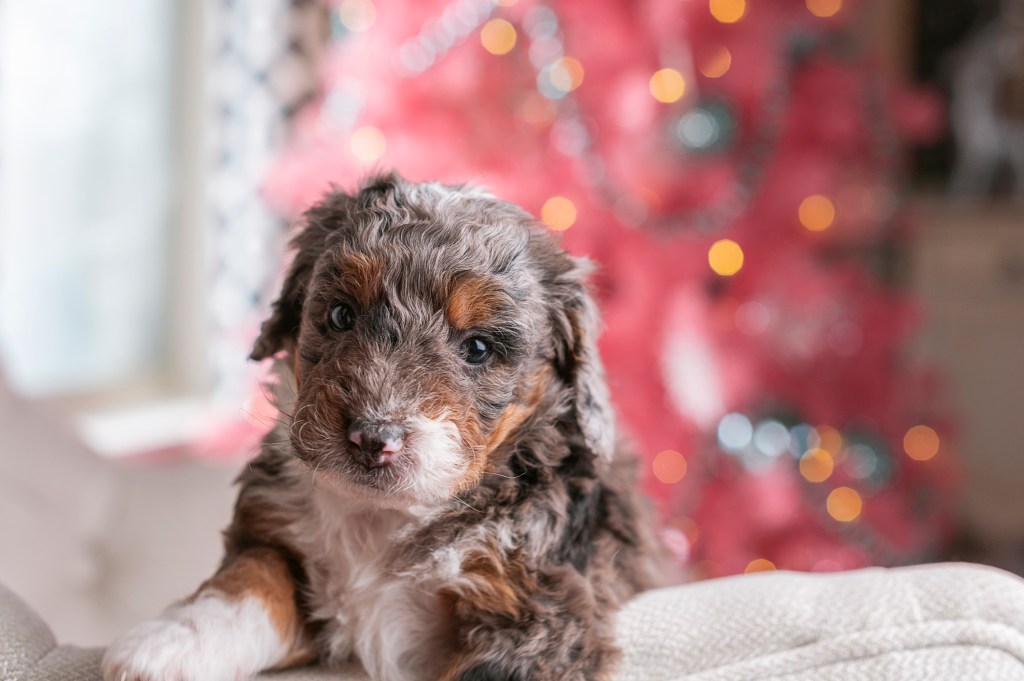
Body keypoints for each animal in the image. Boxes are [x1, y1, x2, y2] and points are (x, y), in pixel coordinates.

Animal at [101, 174, 663, 679]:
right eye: (341, 315)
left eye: (478, 347)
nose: (372, 439)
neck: (385, 516)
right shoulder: (274, 537)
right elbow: (249, 583)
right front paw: (163, 648)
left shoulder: (537, 616)